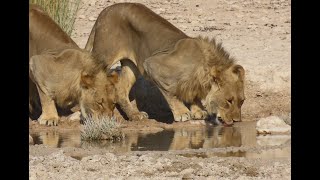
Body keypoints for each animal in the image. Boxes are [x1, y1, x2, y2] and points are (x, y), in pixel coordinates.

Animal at [85, 2, 245, 125]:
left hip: (132, 65)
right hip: (105, 55)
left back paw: (135, 115)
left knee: (121, 88)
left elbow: (192, 94)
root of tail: (105, 10)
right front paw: (182, 113)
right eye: (229, 100)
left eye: (242, 101)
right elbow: (170, 92)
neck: (202, 65)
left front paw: (199, 110)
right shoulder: (152, 64)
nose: (236, 121)